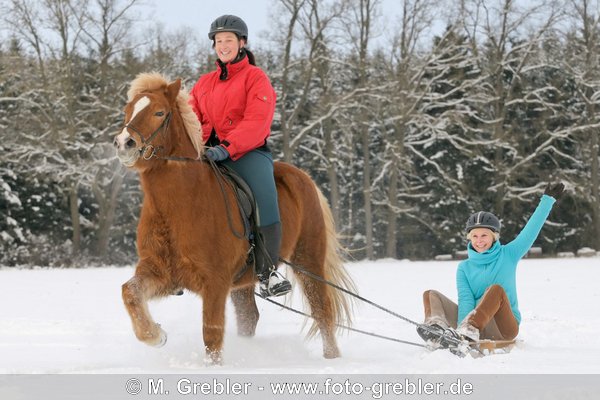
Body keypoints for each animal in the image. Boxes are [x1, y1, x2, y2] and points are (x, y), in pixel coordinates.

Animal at [115, 73, 354, 364]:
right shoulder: (161, 273)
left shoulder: (215, 281)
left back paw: (332, 358)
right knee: (249, 316)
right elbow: (130, 292)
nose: (124, 143)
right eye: (128, 110)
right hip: (244, 281)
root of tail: (303, 178)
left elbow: (212, 333)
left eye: (159, 112)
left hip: (308, 261)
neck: (179, 205)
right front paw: (155, 335)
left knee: (322, 311)